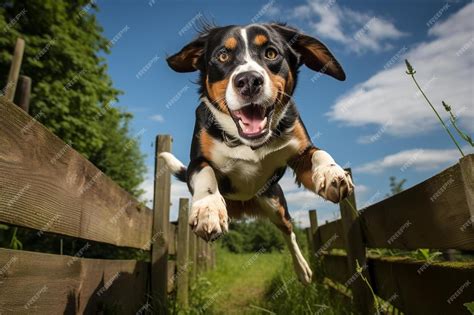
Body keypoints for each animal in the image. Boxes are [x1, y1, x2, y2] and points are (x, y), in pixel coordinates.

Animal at [161, 23, 354, 286]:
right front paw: (208, 207)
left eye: (271, 53)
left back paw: (302, 270)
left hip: (275, 203)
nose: (249, 81)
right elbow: (205, 172)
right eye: (223, 56)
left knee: (288, 234)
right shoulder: (196, 161)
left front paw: (331, 172)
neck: (249, 143)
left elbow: (318, 153)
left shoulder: (299, 153)